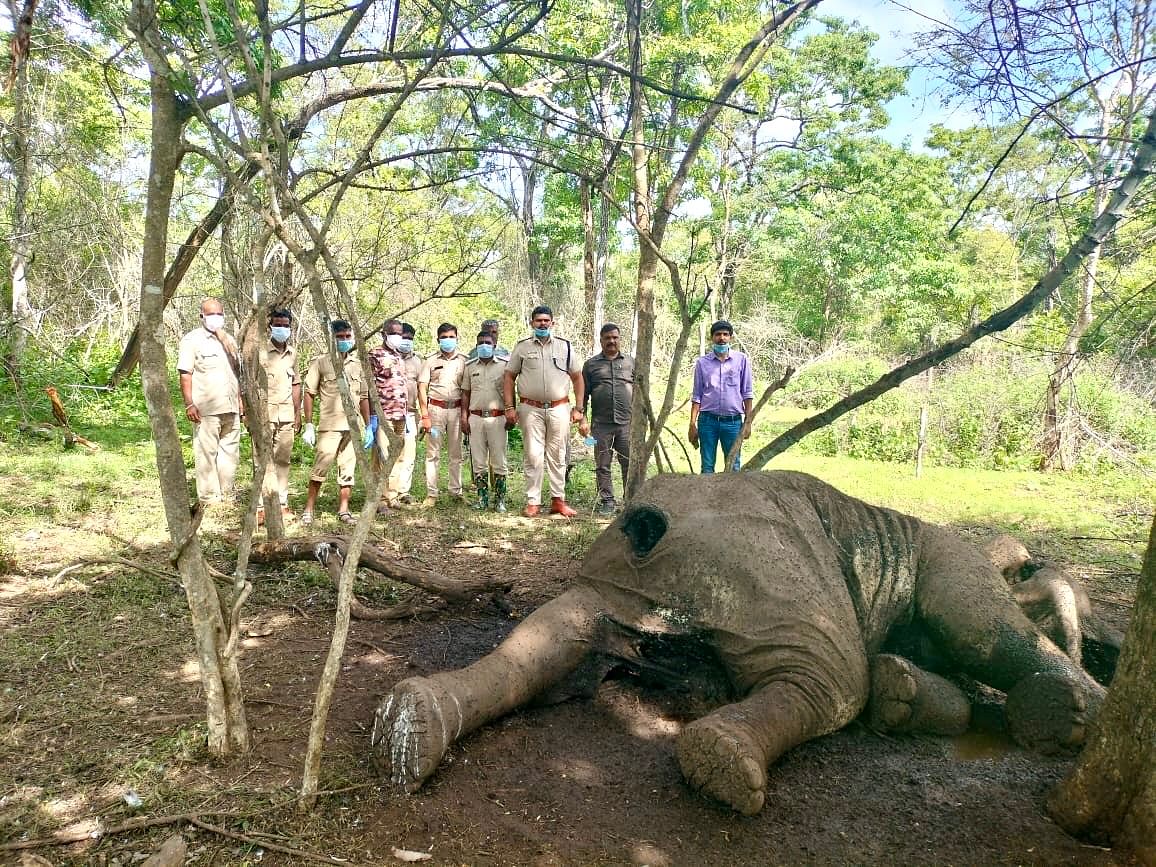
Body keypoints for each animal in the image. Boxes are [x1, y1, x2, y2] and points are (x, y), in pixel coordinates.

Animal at [369, 469, 1100, 813]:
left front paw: (720, 767)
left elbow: (827, 680)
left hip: (925, 546)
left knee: (971, 625)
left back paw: (1067, 715)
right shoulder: (614, 593)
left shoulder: (780, 604)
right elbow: (541, 645)